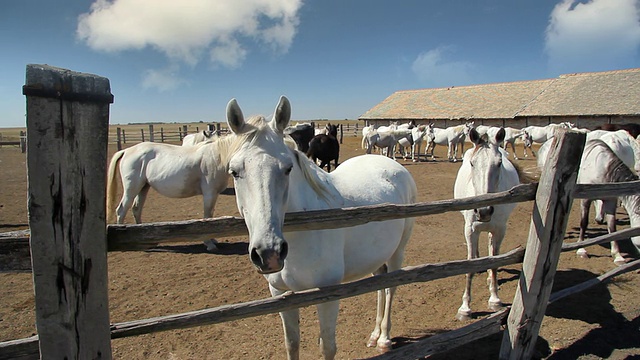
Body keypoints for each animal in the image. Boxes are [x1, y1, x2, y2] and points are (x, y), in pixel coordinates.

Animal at [222, 97, 418, 358]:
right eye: (234, 171)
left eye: (288, 168)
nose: (269, 253)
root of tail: (392, 164)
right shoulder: (281, 294)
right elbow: (292, 343)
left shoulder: (328, 294)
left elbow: (328, 346)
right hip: (377, 256)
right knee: (379, 285)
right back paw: (374, 335)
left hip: (398, 252)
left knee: (390, 289)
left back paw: (385, 338)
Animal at [452, 127, 524, 320]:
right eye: (472, 163)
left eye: (499, 163)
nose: (483, 211)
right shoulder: (470, 230)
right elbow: (469, 266)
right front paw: (465, 308)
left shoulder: (500, 230)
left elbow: (495, 262)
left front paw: (495, 299)